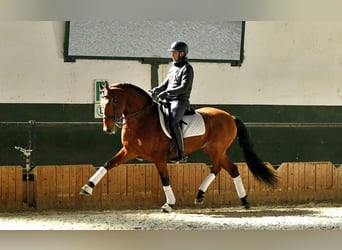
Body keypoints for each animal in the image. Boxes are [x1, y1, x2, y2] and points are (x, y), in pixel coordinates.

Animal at [80, 81, 278, 212]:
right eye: (102, 102)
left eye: (113, 102)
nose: (108, 129)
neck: (142, 119)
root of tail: (230, 116)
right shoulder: (130, 151)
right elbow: (107, 164)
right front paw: (87, 187)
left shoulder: (158, 157)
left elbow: (164, 178)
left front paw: (169, 204)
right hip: (214, 149)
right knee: (232, 168)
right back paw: (244, 201)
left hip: (216, 149)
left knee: (216, 168)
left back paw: (200, 195)